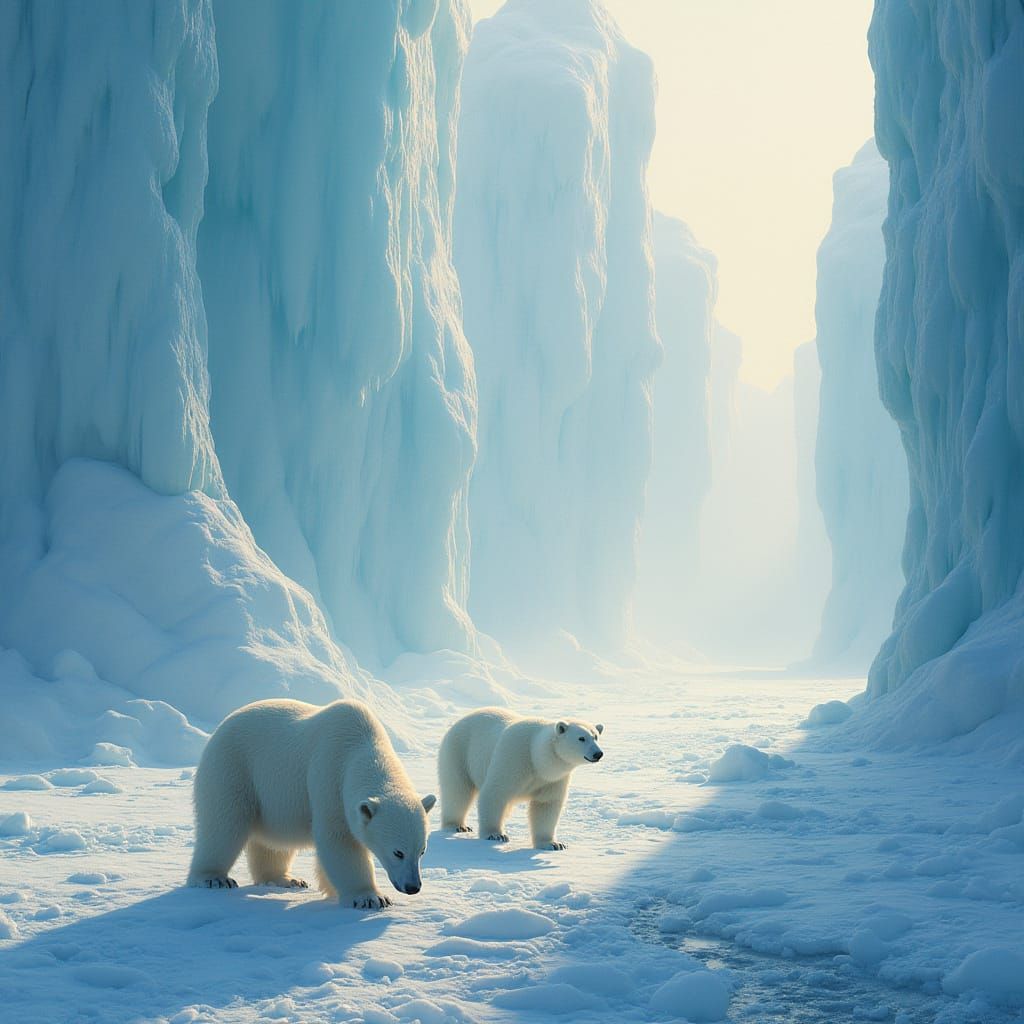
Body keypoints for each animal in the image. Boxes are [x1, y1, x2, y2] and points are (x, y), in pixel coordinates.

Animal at [187, 698, 436, 909]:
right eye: (398, 852)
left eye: (422, 850)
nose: (413, 887)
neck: (362, 745)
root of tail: (221, 727)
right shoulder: (329, 775)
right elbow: (340, 840)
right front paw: (370, 898)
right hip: (233, 768)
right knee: (224, 825)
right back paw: (213, 878)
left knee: (272, 841)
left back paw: (286, 878)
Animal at [437, 708, 604, 850]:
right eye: (581, 738)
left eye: (596, 736)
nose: (598, 753)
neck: (536, 756)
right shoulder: (514, 757)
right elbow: (495, 793)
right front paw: (496, 835)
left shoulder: (552, 779)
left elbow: (546, 804)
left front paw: (553, 844)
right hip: (458, 752)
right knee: (458, 791)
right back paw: (458, 825)